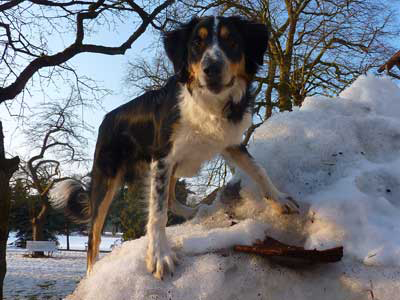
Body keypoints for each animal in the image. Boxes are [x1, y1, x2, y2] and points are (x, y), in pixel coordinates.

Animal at [50, 15, 298, 278]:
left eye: (231, 40)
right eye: (196, 44)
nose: (212, 69)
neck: (207, 103)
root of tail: (108, 118)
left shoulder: (230, 143)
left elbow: (258, 169)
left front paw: (280, 198)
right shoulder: (162, 158)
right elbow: (157, 213)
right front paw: (160, 256)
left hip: (178, 164)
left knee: (170, 196)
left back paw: (192, 211)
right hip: (107, 181)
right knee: (94, 237)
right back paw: (92, 273)